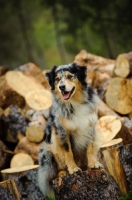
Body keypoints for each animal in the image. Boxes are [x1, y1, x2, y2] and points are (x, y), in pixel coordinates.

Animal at [38, 63, 101, 198]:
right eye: (57, 79)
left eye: (69, 76)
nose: (61, 87)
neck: (74, 102)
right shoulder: (62, 132)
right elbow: (68, 153)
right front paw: (73, 169)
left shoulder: (90, 127)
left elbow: (90, 148)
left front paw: (93, 164)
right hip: (47, 153)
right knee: (52, 175)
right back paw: (63, 173)